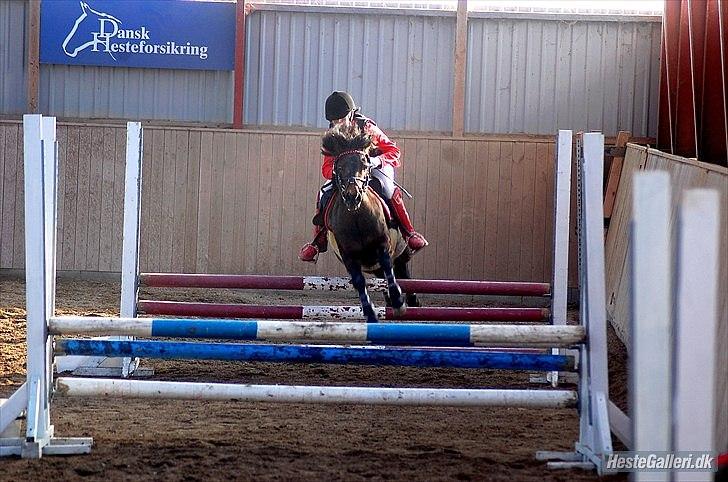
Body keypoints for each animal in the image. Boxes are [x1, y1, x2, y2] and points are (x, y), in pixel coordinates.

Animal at [320, 123, 418, 324]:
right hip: (372, 265)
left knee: (401, 271)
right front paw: (371, 313)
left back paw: (411, 300)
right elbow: (359, 282)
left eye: (365, 164)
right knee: (381, 277)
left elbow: (388, 266)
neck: (357, 217)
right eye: (339, 167)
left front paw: (399, 302)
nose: (353, 196)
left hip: (401, 252)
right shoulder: (348, 254)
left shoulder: (383, 243)